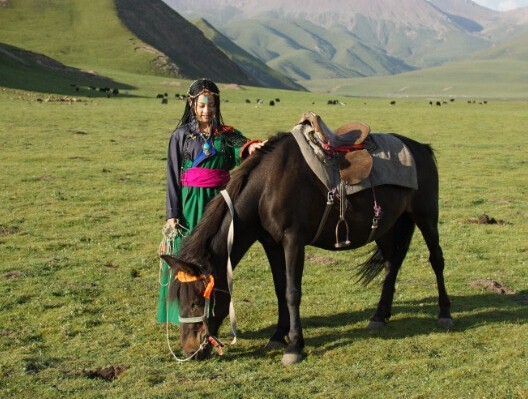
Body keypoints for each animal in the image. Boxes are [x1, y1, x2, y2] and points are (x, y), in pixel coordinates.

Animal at [163, 128, 452, 366]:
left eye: (197, 301)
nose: (189, 351)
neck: (267, 187)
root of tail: (421, 148)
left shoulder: (293, 241)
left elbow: (292, 292)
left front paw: (294, 347)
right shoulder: (272, 244)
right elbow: (280, 289)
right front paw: (278, 336)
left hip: (426, 216)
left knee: (436, 259)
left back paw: (445, 313)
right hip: (387, 226)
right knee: (392, 264)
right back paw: (379, 316)